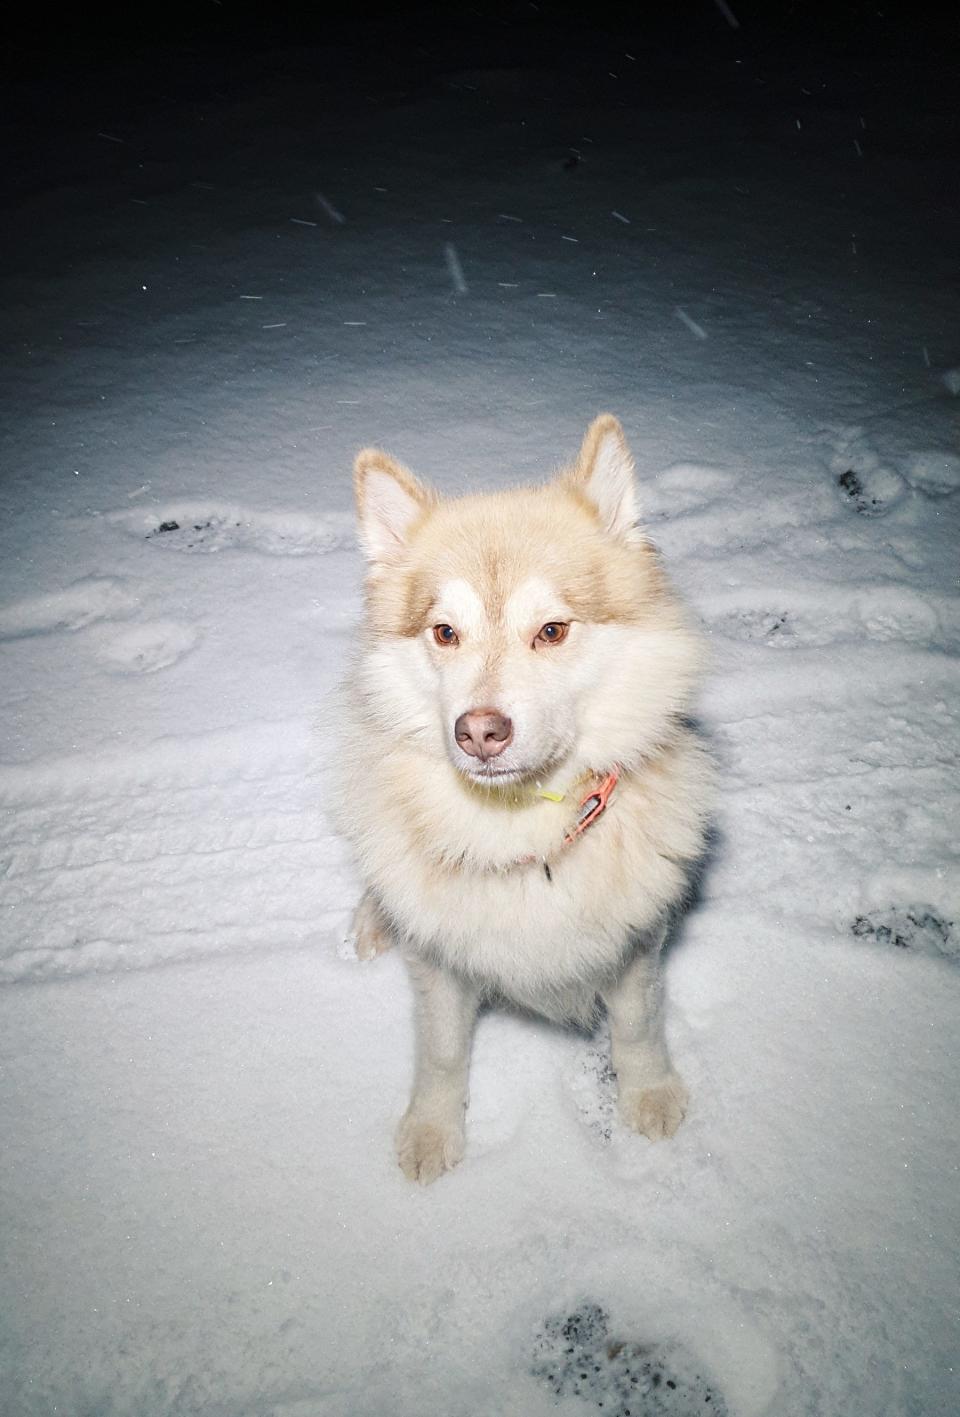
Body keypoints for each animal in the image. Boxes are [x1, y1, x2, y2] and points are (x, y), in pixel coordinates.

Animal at [337, 413, 711, 1184]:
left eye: (553, 630)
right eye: (445, 632)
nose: (479, 731)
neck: (522, 832)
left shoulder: (637, 946)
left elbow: (638, 1026)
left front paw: (649, 1094)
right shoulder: (440, 968)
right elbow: (442, 1052)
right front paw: (432, 1129)